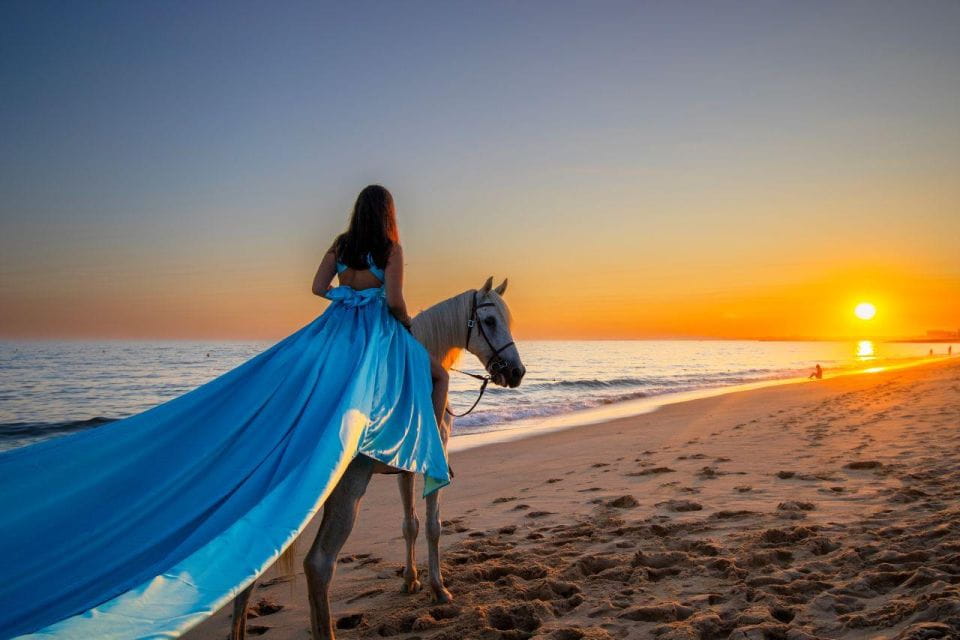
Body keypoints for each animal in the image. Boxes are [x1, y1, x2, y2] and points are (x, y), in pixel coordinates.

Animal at [230, 277, 525, 640]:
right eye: (490, 321)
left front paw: (411, 581)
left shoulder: (406, 470)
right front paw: (438, 588)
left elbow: (410, 525)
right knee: (319, 564)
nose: (517, 372)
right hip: (347, 489)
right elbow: (433, 527)